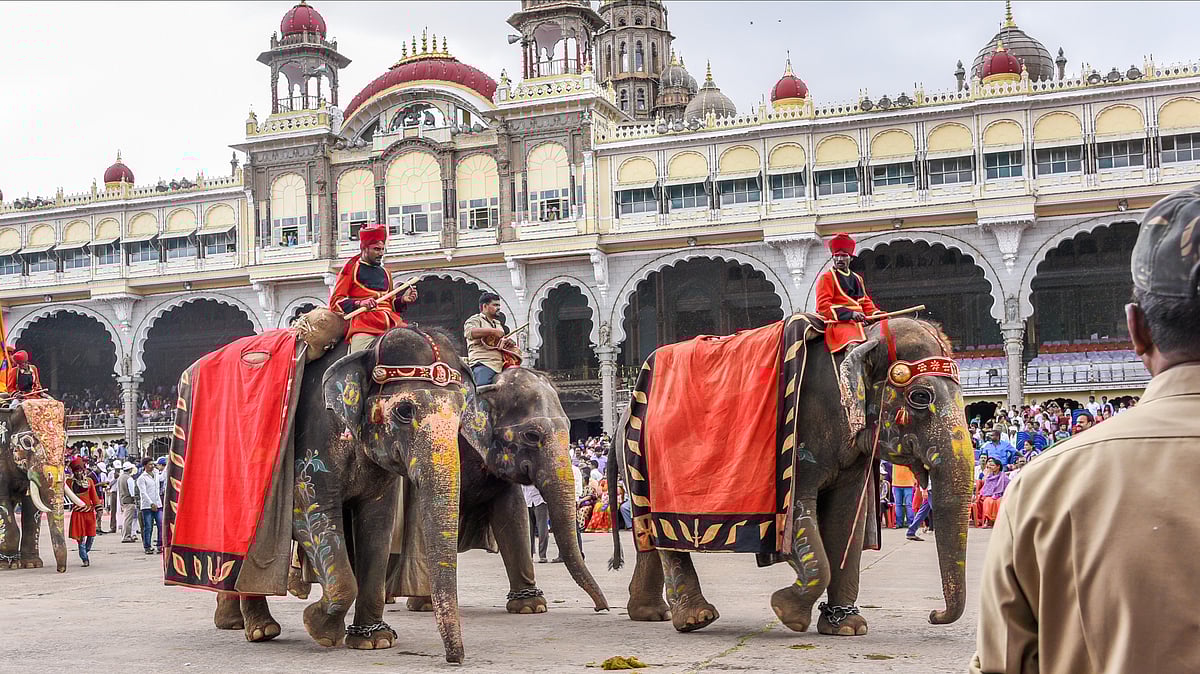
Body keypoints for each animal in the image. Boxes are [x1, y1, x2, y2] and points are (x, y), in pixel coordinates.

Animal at [0, 399, 85, 572]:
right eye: (27, 442)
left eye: (65, 441)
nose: (61, 570)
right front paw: (6, 565)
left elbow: (33, 507)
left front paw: (31, 564)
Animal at [209, 326, 486, 663]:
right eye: (404, 411)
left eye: (461, 414)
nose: (455, 659)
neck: (367, 348)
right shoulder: (314, 438)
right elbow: (310, 512)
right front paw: (320, 629)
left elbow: (377, 524)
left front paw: (374, 640)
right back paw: (261, 630)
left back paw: (234, 622)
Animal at [390, 366, 609, 615]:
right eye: (532, 435)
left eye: (569, 428)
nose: (600, 608)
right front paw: (424, 604)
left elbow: (513, 513)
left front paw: (530, 606)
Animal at [608, 317, 973, 636]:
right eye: (921, 397)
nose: (933, 615)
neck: (859, 336)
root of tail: (622, 419)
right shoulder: (801, 435)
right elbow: (801, 510)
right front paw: (787, 612)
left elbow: (845, 519)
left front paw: (847, 628)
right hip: (645, 456)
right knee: (662, 534)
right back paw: (696, 619)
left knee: (650, 536)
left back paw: (650, 614)